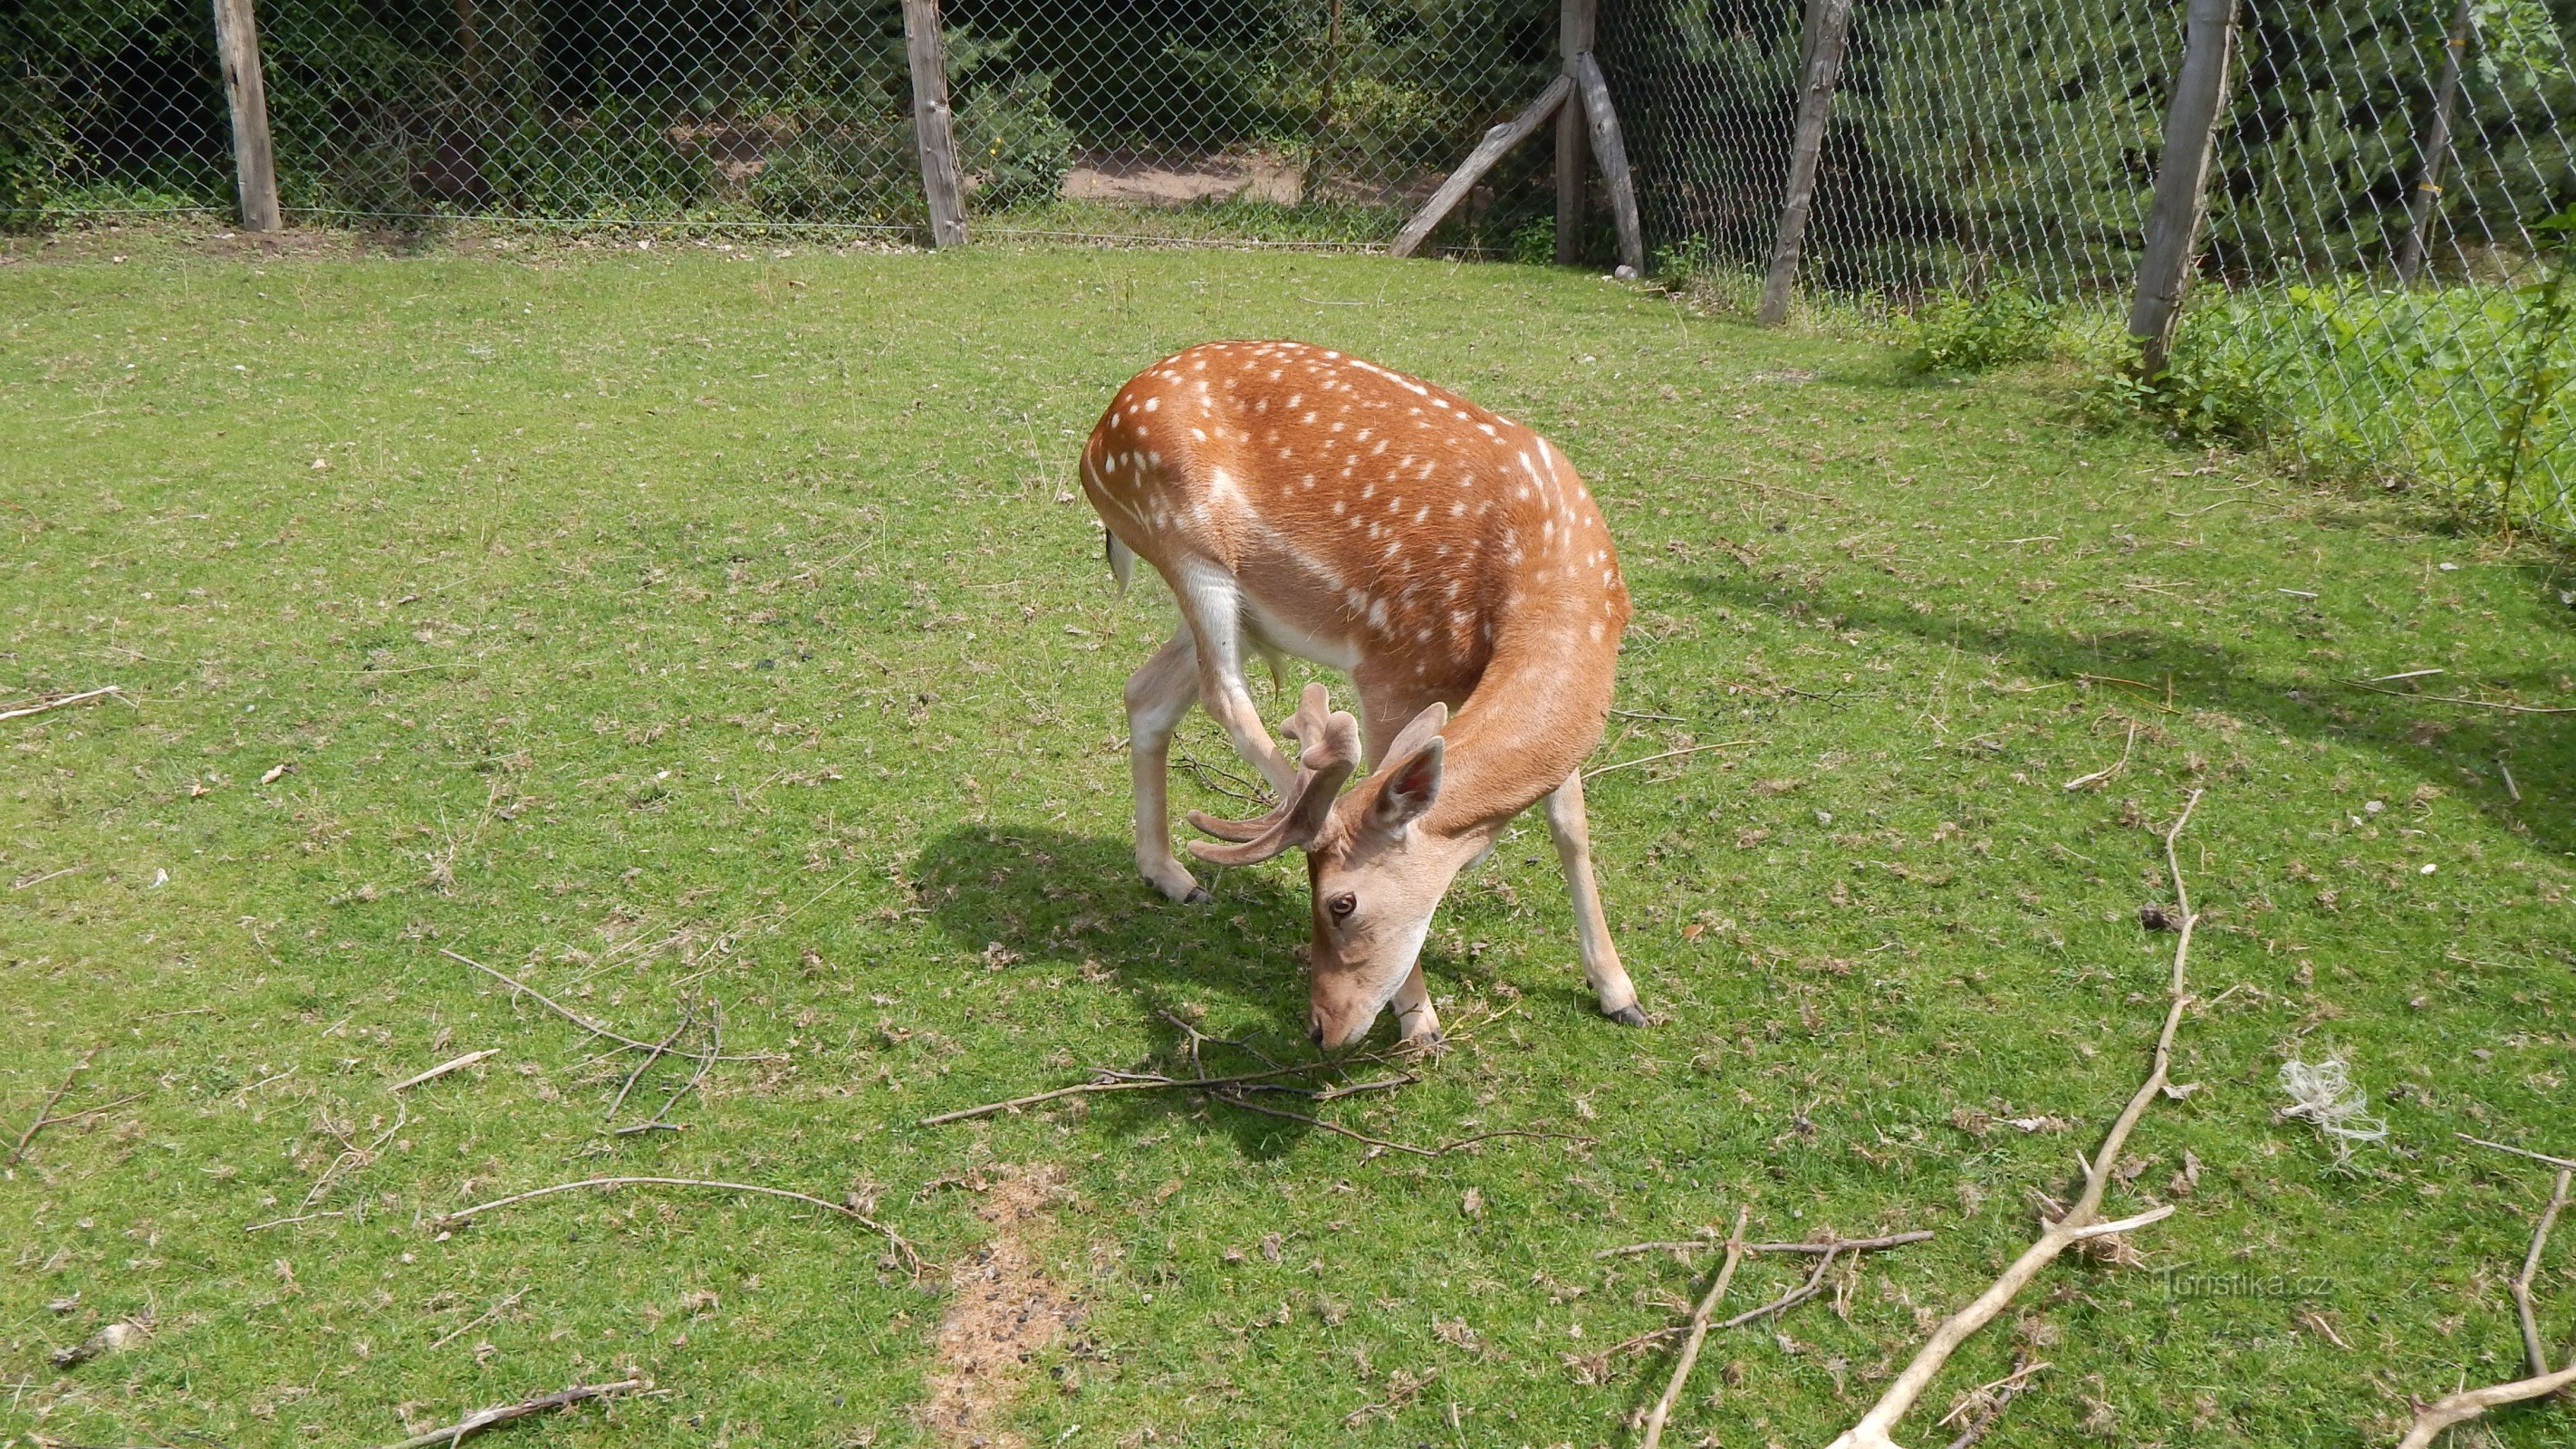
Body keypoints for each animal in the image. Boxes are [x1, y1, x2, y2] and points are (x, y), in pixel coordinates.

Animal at [1076, 341, 1638, 1050]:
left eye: (1340, 904)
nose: (1321, 1028)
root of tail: (1098, 435)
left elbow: (1570, 826)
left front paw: (1620, 992)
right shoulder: (1390, 665)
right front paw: (1419, 1017)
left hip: (1249, 608)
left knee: (1145, 692)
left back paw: (1170, 875)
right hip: (1189, 551)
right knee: (1224, 697)